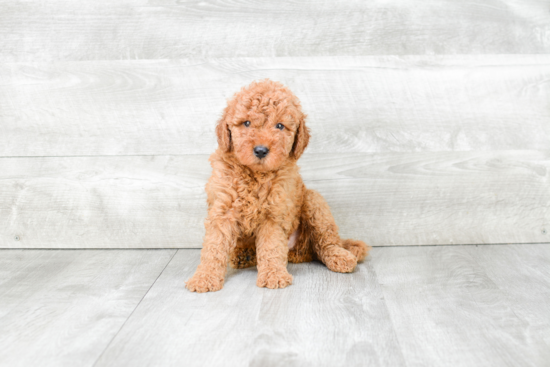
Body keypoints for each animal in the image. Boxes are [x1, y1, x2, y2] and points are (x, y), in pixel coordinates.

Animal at [187, 80, 370, 294]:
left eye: (280, 126)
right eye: (246, 123)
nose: (260, 150)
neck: (255, 175)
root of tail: (299, 251)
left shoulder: (273, 214)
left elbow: (271, 246)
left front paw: (273, 275)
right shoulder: (222, 211)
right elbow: (214, 247)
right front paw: (204, 277)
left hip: (314, 202)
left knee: (325, 242)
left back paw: (340, 257)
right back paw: (244, 255)